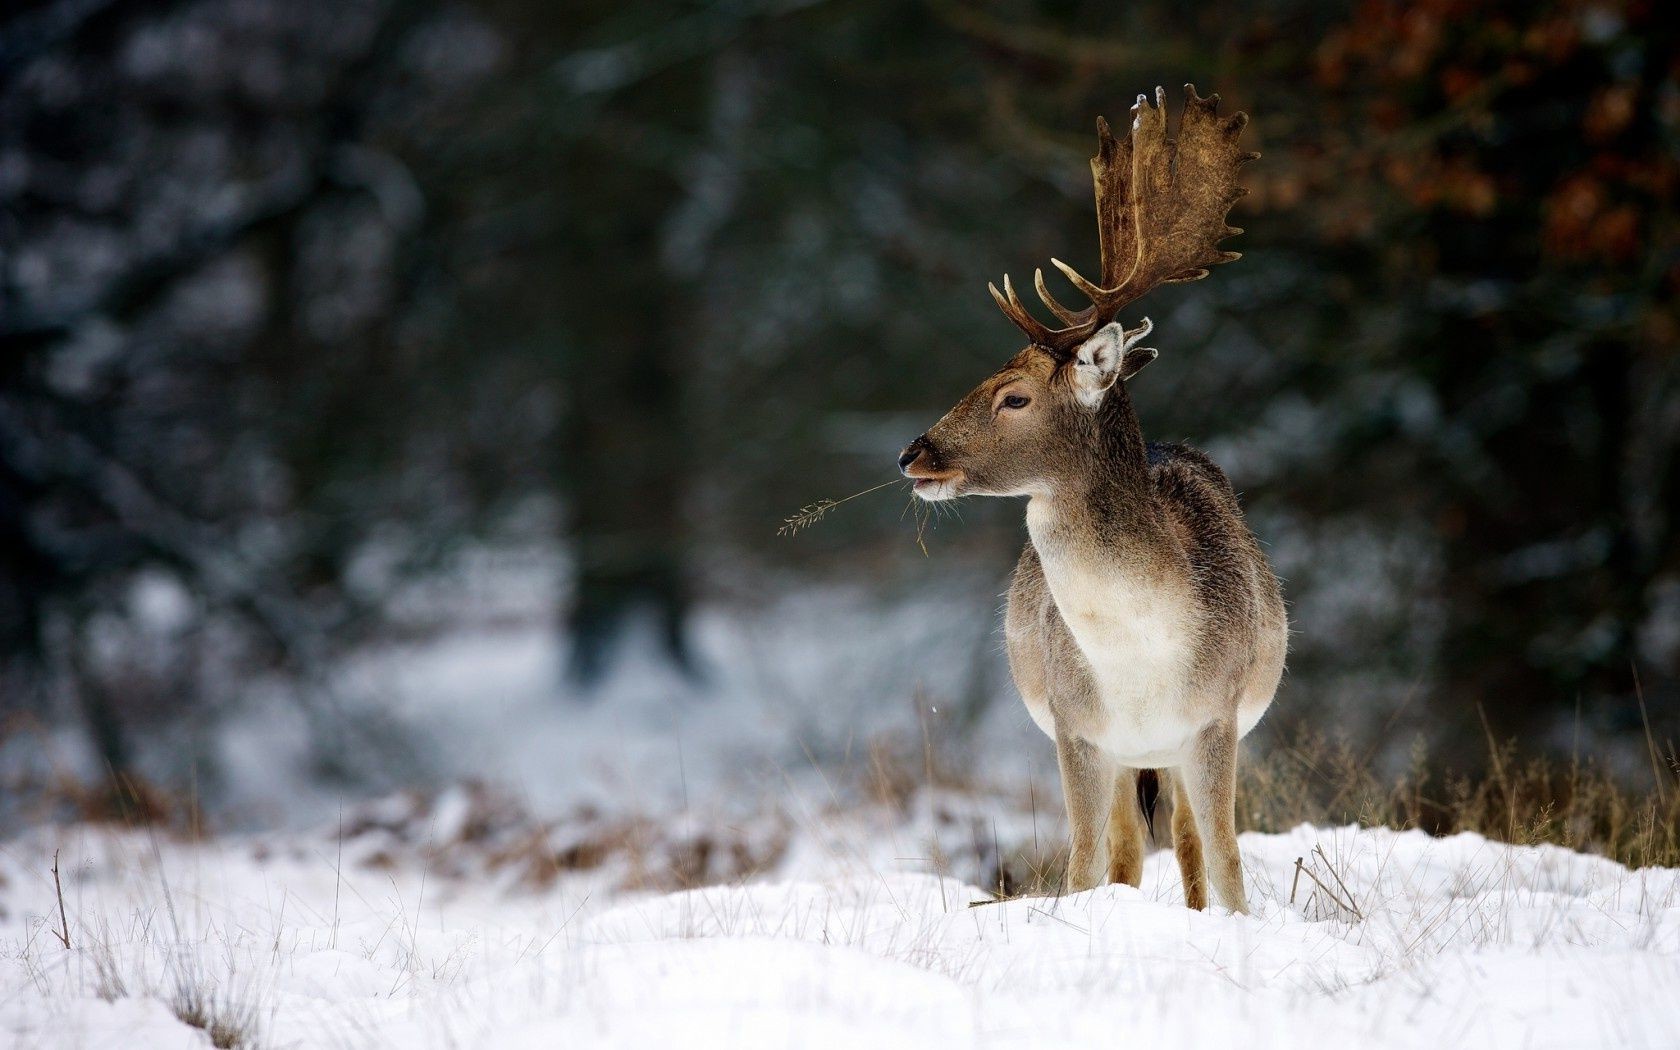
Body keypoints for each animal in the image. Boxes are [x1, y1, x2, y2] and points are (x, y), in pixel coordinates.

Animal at [900, 86, 1276, 913]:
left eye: (1013, 396)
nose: (913, 454)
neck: (1140, 658)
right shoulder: (1078, 730)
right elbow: (1080, 863)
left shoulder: (1216, 718)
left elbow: (1230, 859)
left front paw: (1238, 923)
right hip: (1124, 755)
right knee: (1131, 849)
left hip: (1177, 748)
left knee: (1190, 843)